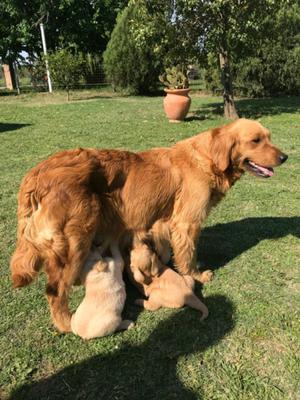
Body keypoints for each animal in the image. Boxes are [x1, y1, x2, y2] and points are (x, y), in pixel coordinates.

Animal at [10, 118, 288, 332]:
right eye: (256, 140)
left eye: (269, 137)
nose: (285, 157)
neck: (207, 159)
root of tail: (36, 174)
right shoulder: (186, 223)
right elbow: (188, 257)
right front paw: (197, 275)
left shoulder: (162, 225)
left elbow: (165, 253)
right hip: (74, 245)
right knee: (55, 291)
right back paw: (67, 324)